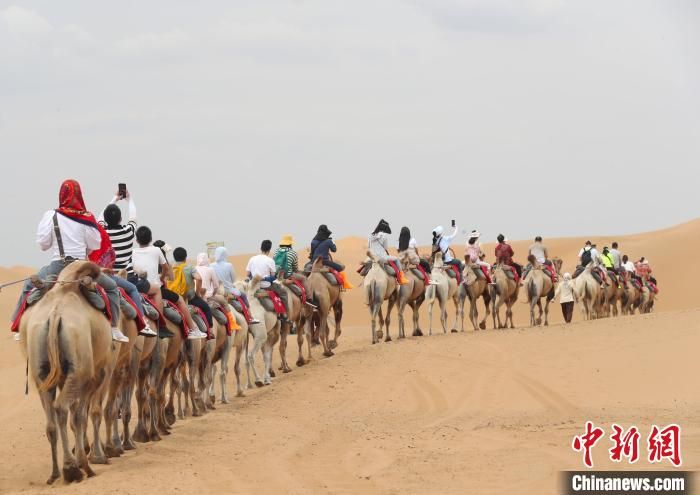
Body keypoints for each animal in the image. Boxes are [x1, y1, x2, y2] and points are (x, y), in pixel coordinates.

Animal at [19, 262, 116, 486]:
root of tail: (55, 315)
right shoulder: (96, 376)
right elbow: (81, 416)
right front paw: (88, 460)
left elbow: (77, 417)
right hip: (80, 371)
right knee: (62, 409)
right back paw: (74, 469)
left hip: (41, 372)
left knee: (51, 421)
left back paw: (55, 473)